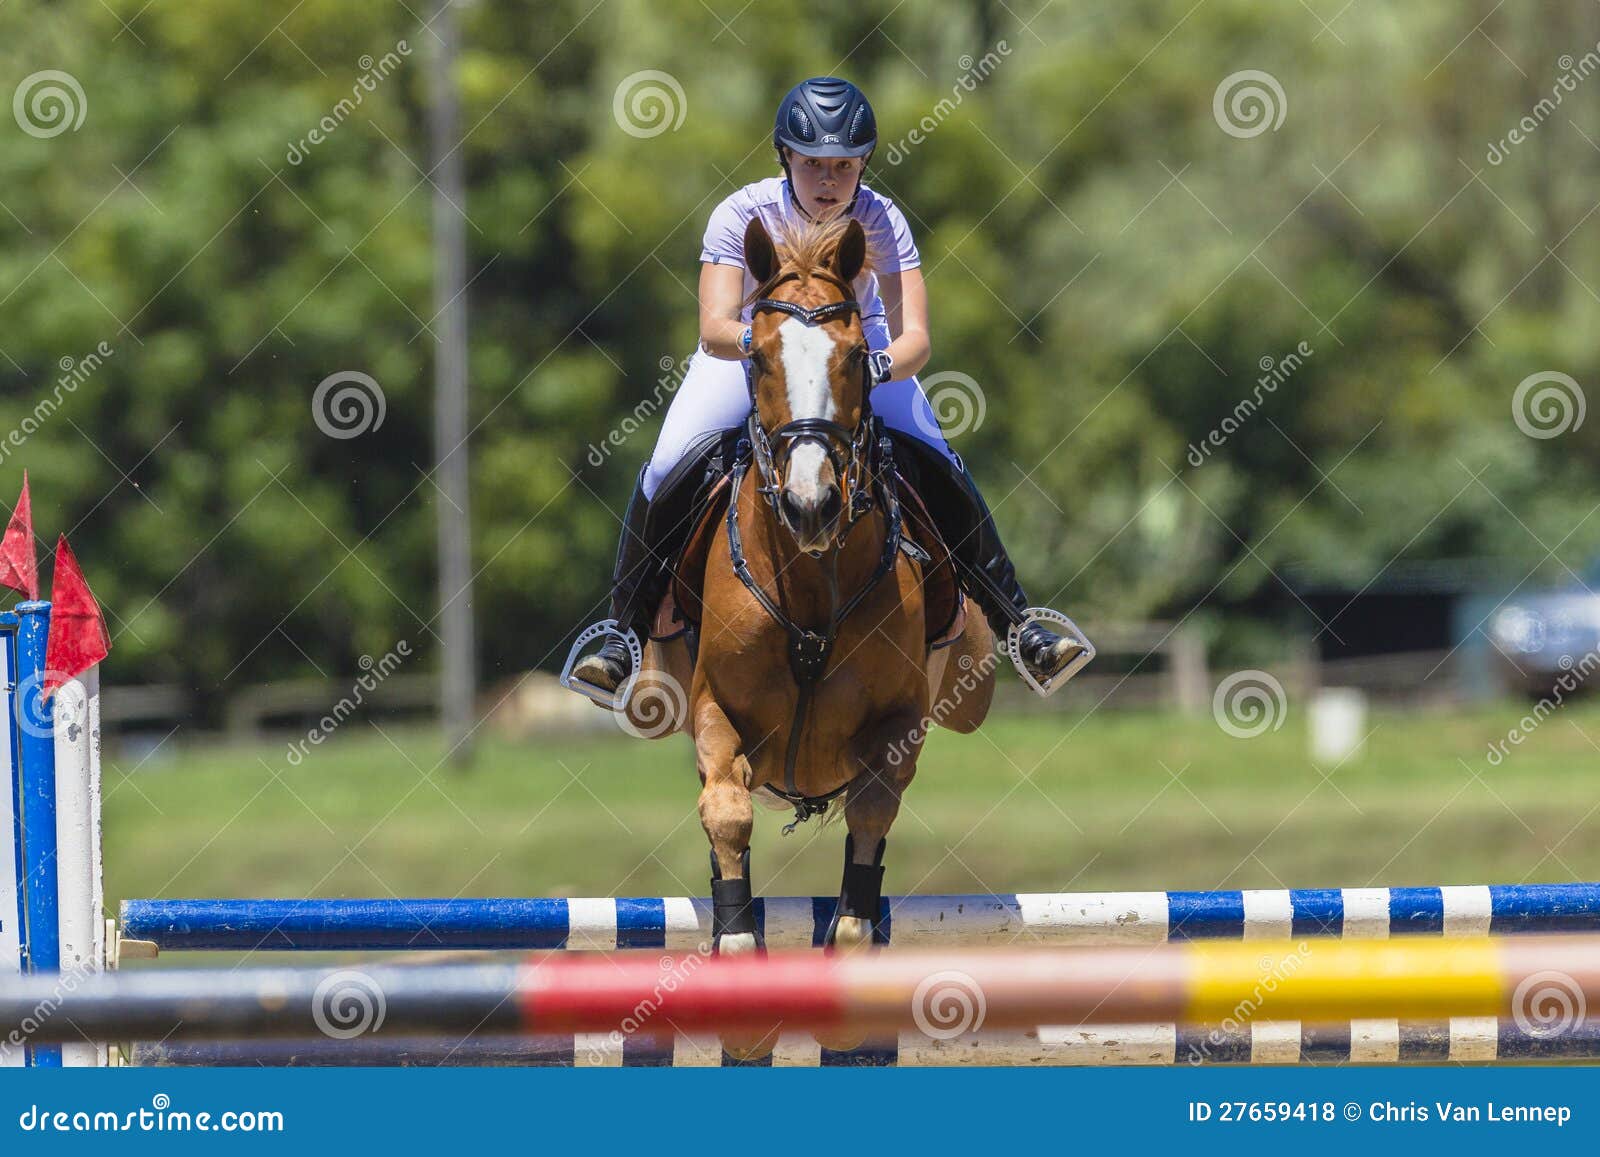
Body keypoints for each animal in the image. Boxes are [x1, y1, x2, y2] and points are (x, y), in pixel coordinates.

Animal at [617, 212, 992, 1062]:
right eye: (755, 356)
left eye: (857, 357)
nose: (811, 504)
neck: (812, 576)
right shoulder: (715, 712)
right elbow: (727, 816)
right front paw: (742, 990)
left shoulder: (900, 725)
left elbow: (869, 834)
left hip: (973, 683)